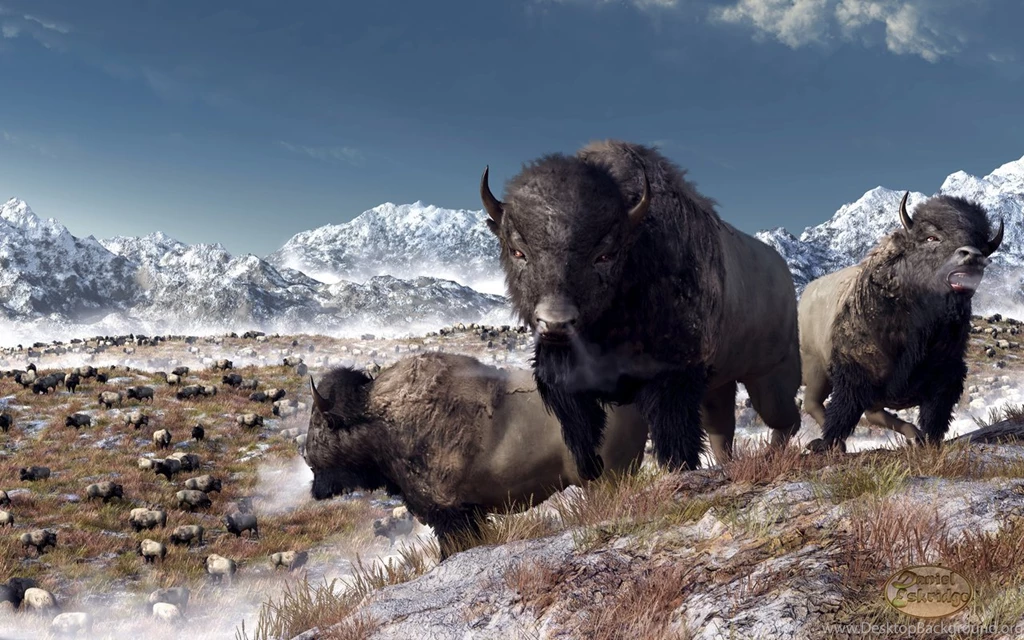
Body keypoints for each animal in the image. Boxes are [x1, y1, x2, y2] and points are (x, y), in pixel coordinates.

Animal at [479, 140, 801, 477]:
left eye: (605, 255)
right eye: (518, 251)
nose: (556, 323)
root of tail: (782, 270)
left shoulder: (675, 377)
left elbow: (675, 437)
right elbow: (583, 433)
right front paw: (591, 469)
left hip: (771, 375)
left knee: (784, 419)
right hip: (720, 384)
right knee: (722, 429)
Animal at [801, 192, 1003, 452]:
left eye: (981, 245)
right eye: (931, 237)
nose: (972, 256)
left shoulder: (947, 375)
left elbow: (935, 416)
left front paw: (928, 441)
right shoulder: (854, 373)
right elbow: (843, 412)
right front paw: (827, 444)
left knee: (873, 413)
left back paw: (913, 433)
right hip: (816, 368)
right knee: (814, 402)